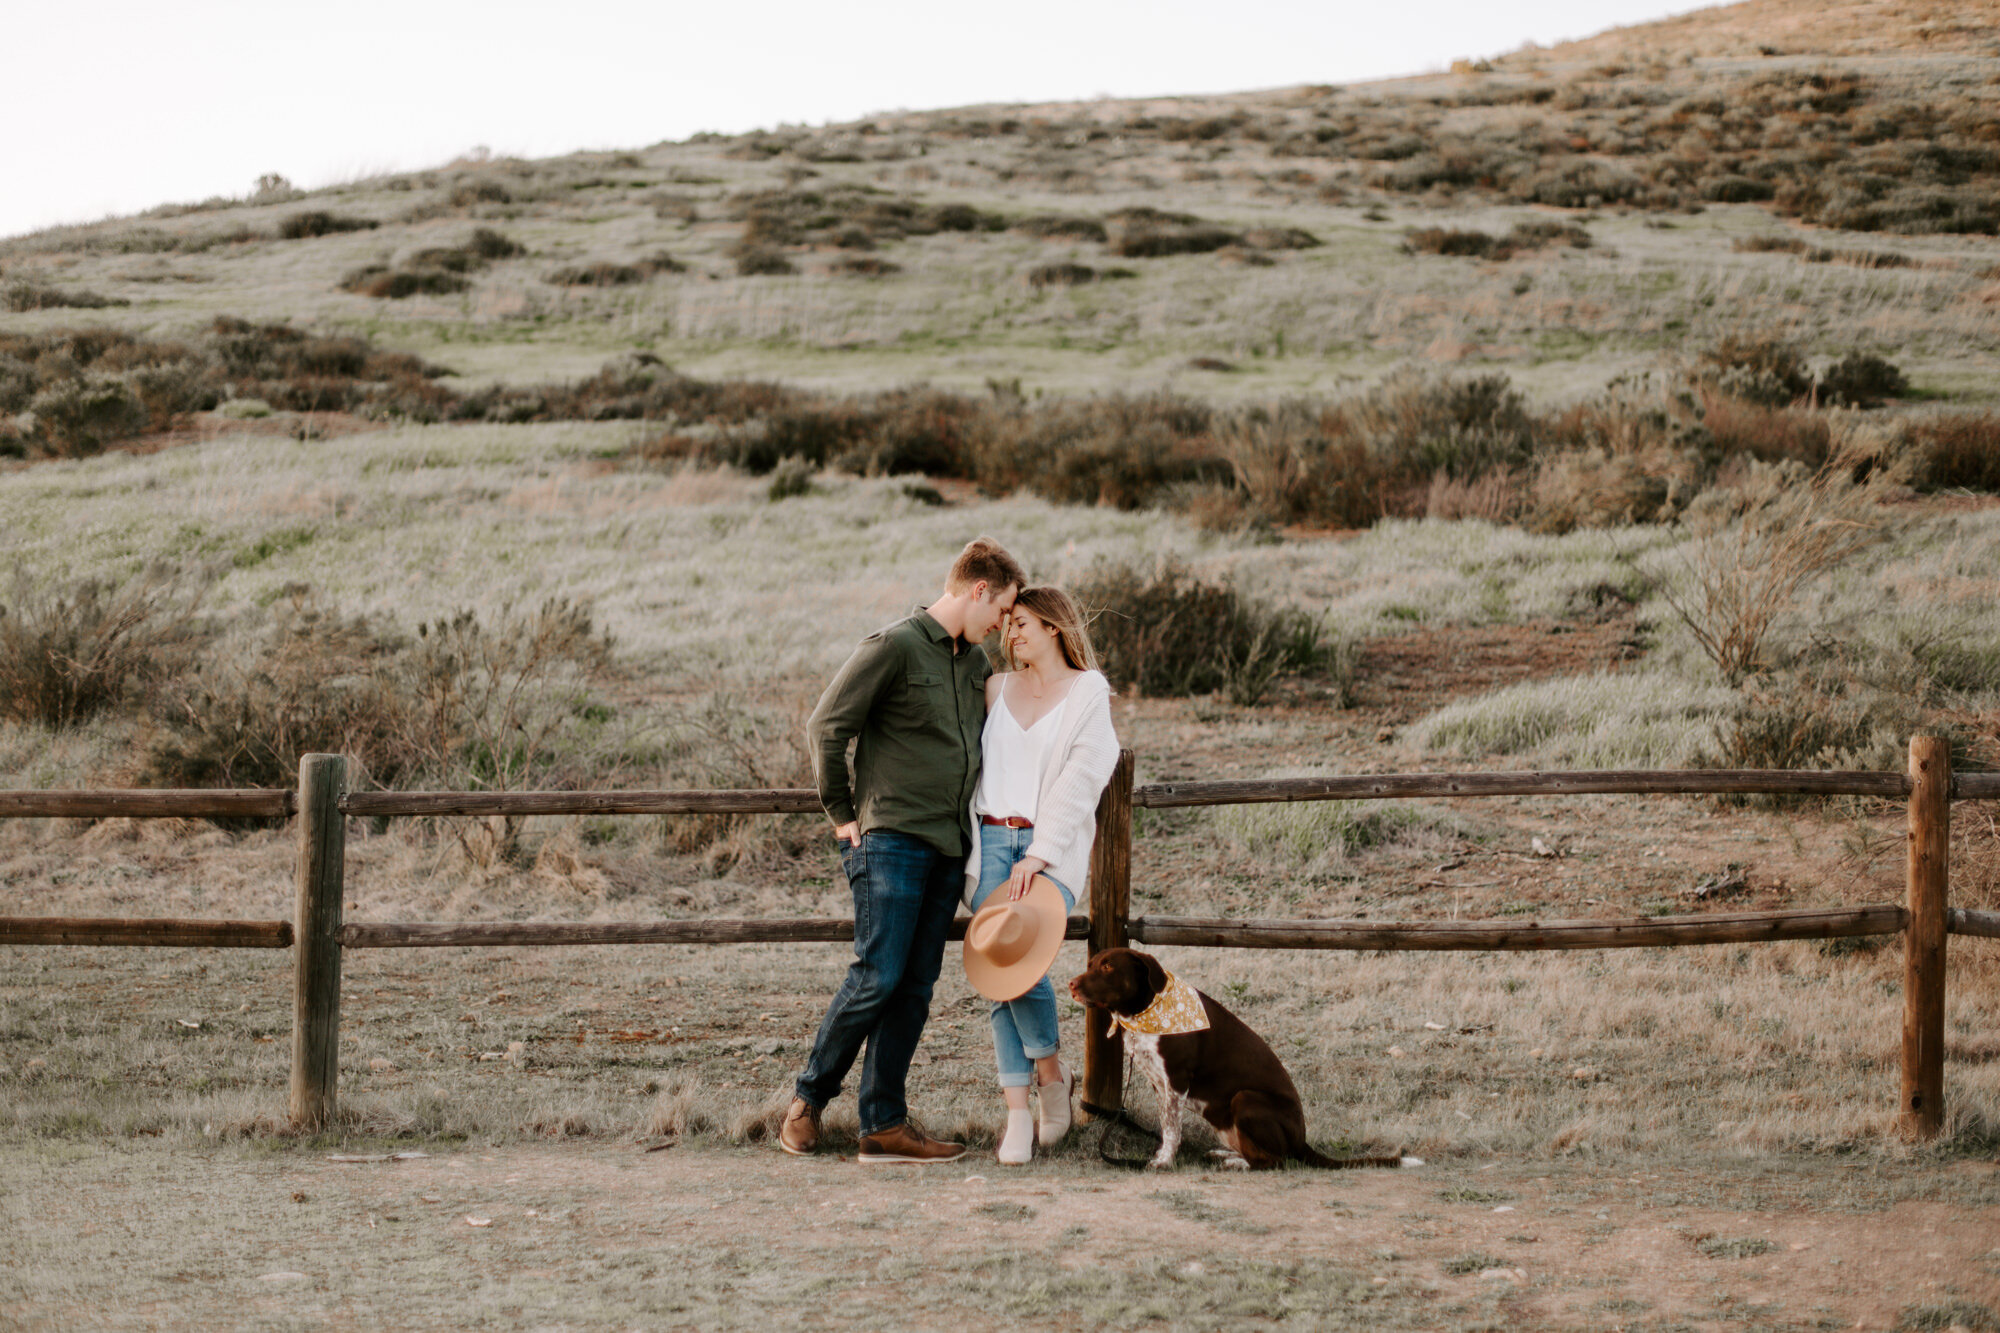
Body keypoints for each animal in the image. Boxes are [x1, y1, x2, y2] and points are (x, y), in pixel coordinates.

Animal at [1072, 940, 1416, 1168]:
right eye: (1090, 964)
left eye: (1107, 966)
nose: (1071, 984)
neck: (1145, 1011)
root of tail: (1302, 1141)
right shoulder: (1161, 1085)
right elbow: (1168, 1126)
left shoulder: (1176, 1082)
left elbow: (1171, 1130)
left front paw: (1163, 1161)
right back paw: (1227, 1154)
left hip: (1245, 1099)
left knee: (1274, 1161)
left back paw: (1236, 1163)